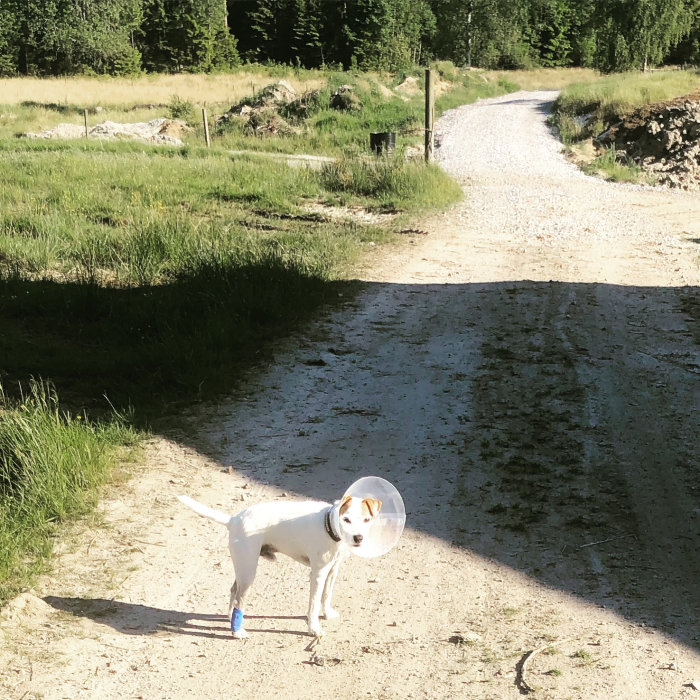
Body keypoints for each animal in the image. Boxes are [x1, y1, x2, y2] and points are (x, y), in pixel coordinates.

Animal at [178, 492, 380, 640]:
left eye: (366, 520)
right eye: (346, 519)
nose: (358, 538)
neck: (328, 525)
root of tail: (234, 519)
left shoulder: (332, 570)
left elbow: (326, 595)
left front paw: (327, 613)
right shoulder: (318, 574)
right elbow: (314, 604)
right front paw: (314, 628)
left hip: (243, 569)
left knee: (233, 591)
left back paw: (230, 619)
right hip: (249, 572)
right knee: (239, 599)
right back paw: (236, 631)